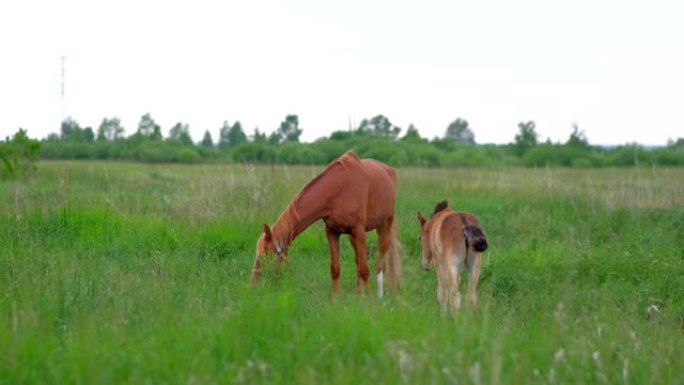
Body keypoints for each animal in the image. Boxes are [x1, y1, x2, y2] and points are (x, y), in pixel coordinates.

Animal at [250, 150, 400, 296]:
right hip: (354, 237)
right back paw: (358, 293)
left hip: (385, 225)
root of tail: (388, 170)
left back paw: (381, 295)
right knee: (359, 260)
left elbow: (365, 269)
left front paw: (370, 301)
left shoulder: (359, 230)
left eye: (266, 254)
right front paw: (335, 299)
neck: (339, 190)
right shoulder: (332, 232)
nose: (254, 284)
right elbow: (335, 268)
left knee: (382, 262)